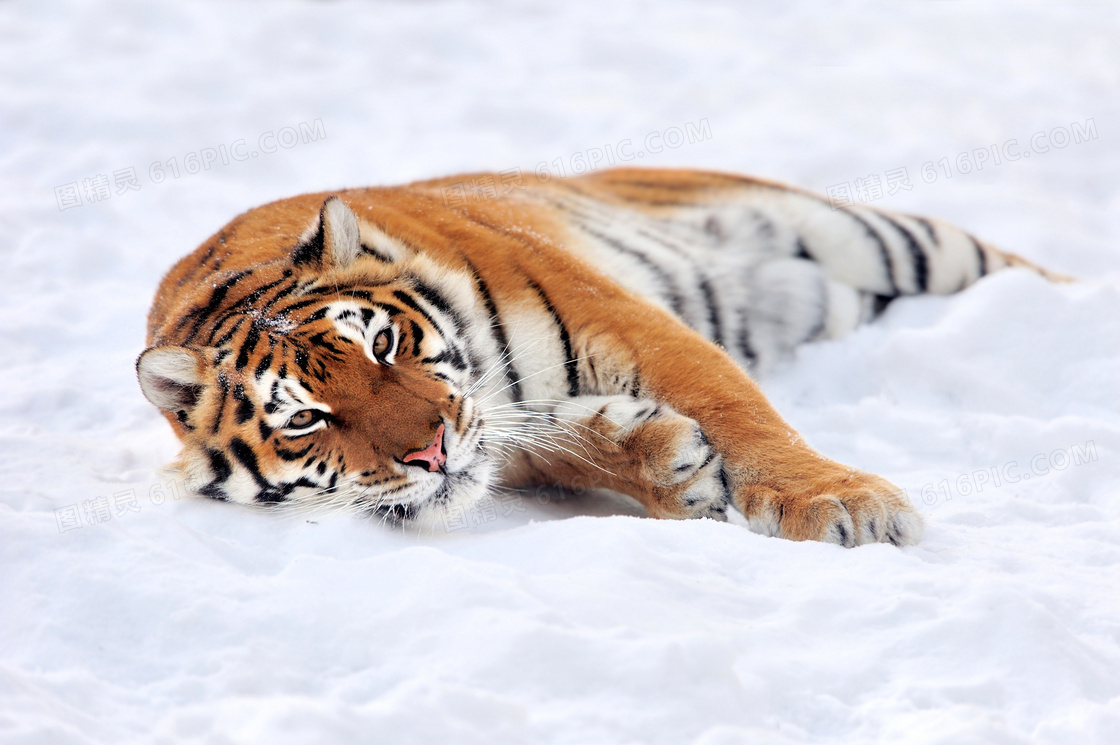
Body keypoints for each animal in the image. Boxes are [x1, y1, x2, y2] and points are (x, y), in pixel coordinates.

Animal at [135, 166, 1061, 546]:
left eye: (384, 344)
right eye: (305, 419)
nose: (429, 451)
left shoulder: (619, 317)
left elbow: (738, 409)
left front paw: (844, 504)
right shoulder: (500, 434)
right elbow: (551, 445)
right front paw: (669, 467)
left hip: (882, 237)